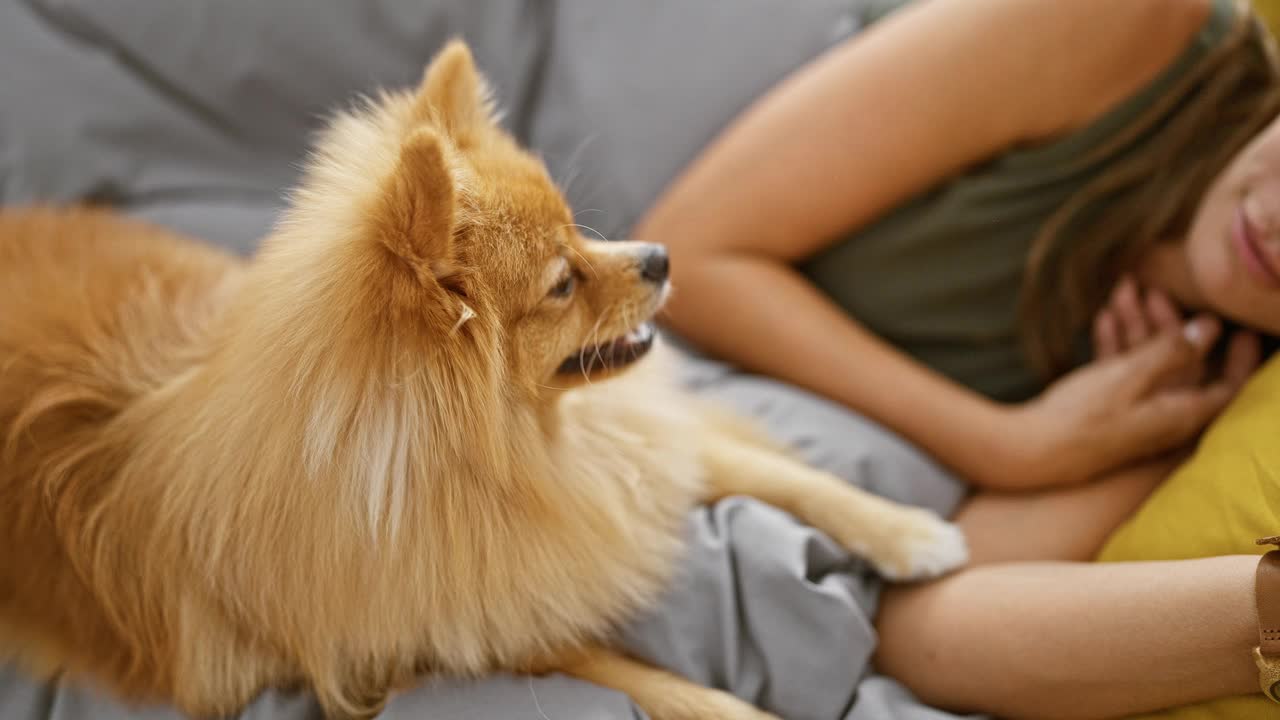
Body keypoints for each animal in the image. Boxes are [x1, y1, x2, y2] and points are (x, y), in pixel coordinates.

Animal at [0, 40, 962, 717]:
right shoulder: (474, 628)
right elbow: (642, 678)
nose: (660, 256)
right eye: (563, 282)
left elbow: (786, 476)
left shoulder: (633, 456)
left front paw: (913, 533)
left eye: (580, 229)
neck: (519, 454)